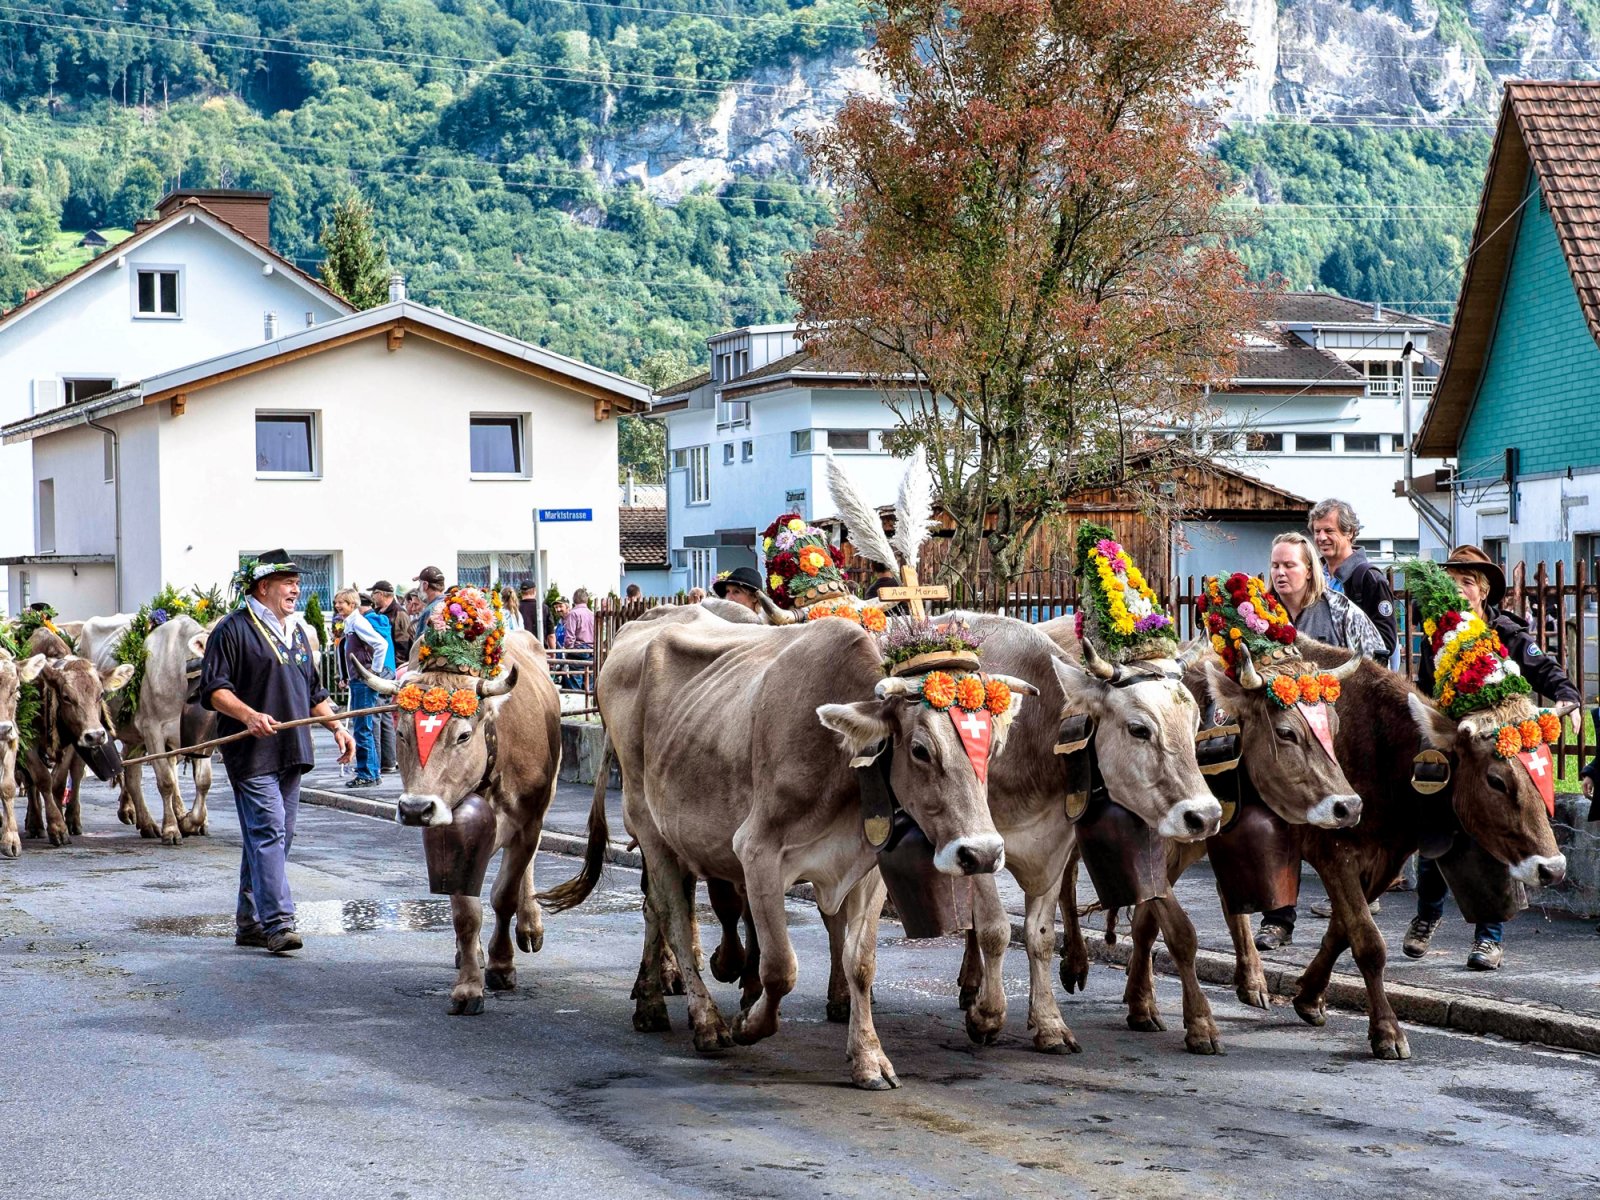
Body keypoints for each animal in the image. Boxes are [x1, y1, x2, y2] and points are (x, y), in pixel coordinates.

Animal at [355, 633, 563, 1017]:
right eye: (403, 733)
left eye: (464, 736)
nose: (414, 808)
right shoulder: (447, 829)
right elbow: (466, 914)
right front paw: (468, 986)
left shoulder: (527, 824)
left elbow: (504, 896)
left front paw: (502, 966)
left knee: (528, 866)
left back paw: (530, 926)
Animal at [544, 611, 1030, 1088]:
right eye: (919, 749)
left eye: (994, 746)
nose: (982, 854)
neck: (841, 766)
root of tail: (638, 626)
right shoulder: (757, 850)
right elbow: (780, 967)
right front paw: (747, 1025)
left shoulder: (868, 866)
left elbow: (860, 962)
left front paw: (868, 1058)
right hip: (648, 825)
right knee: (670, 916)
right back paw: (703, 1021)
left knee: (658, 910)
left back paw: (654, 1002)